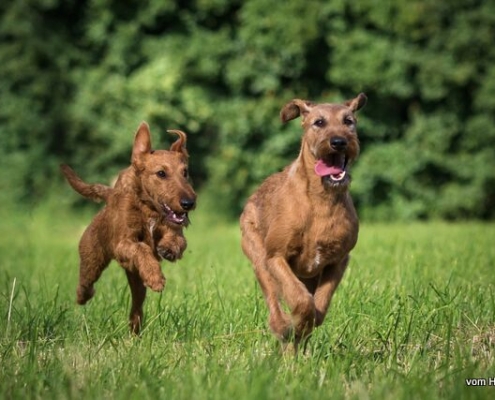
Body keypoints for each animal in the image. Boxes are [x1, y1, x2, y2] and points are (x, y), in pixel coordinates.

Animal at [60, 122, 196, 334]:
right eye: (161, 173)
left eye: (185, 172)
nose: (189, 203)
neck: (147, 207)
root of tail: (107, 197)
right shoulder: (123, 243)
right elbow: (141, 247)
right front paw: (156, 277)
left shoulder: (174, 228)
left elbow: (178, 239)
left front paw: (168, 248)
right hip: (92, 259)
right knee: (85, 281)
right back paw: (84, 296)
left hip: (137, 282)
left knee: (136, 306)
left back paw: (134, 330)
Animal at [242, 94, 366, 354]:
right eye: (319, 122)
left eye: (348, 121)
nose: (339, 142)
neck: (321, 198)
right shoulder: (276, 257)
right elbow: (300, 301)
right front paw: (294, 326)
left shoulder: (338, 261)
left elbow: (319, 305)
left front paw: (303, 328)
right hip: (258, 258)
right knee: (273, 299)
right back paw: (282, 328)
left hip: (307, 275)